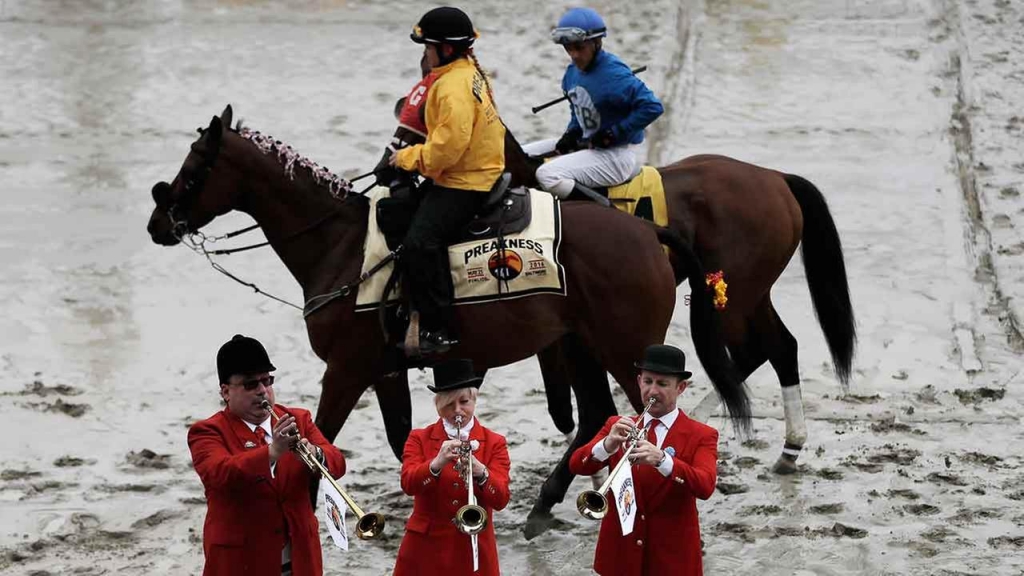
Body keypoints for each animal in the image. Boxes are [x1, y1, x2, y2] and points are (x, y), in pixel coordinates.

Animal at [146, 104, 753, 532]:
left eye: (196, 164)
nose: (158, 221)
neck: (340, 244)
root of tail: (648, 231)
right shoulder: (385, 370)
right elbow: (402, 438)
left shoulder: (347, 369)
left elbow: (324, 434)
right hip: (580, 344)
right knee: (595, 417)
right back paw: (545, 506)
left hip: (626, 352)